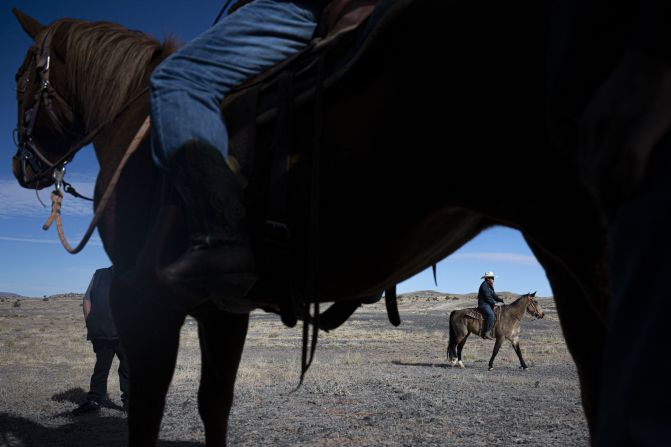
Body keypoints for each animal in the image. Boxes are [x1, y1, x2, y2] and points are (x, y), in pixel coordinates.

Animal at [10, 1, 612, 446]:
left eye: (20, 77)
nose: (22, 167)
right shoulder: (216, 307)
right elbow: (212, 405)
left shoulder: (147, 300)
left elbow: (155, 410)